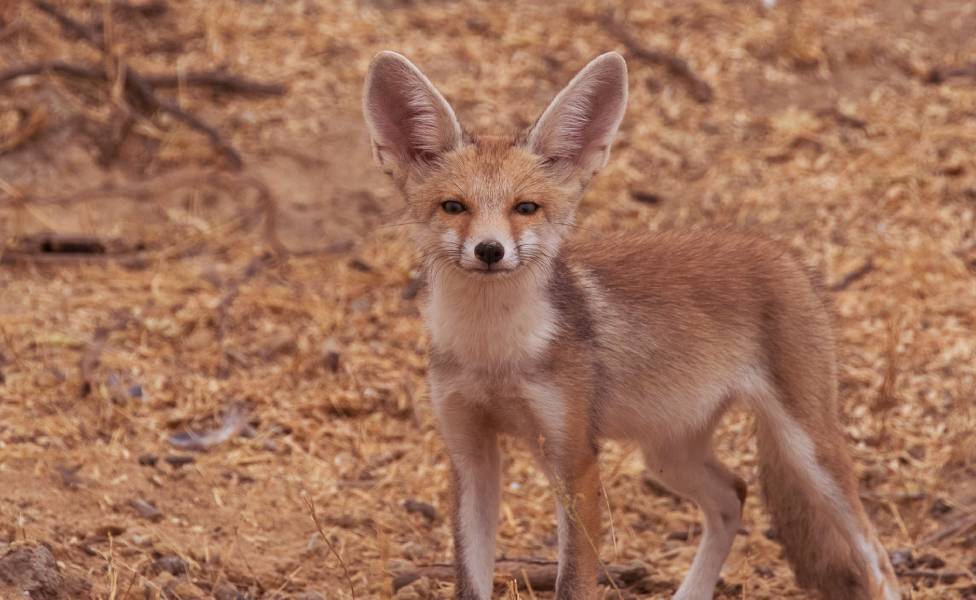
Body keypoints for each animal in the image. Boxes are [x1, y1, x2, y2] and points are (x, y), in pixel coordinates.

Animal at [360, 51, 900, 600]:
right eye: (454, 206)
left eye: (525, 208)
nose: (490, 250)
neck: (493, 354)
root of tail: (783, 251)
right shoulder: (470, 454)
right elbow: (470, 581)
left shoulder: (575, 458)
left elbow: (573, 582)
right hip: (667, 455)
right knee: (733, 496)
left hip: (807, 451)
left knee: (874, 552)